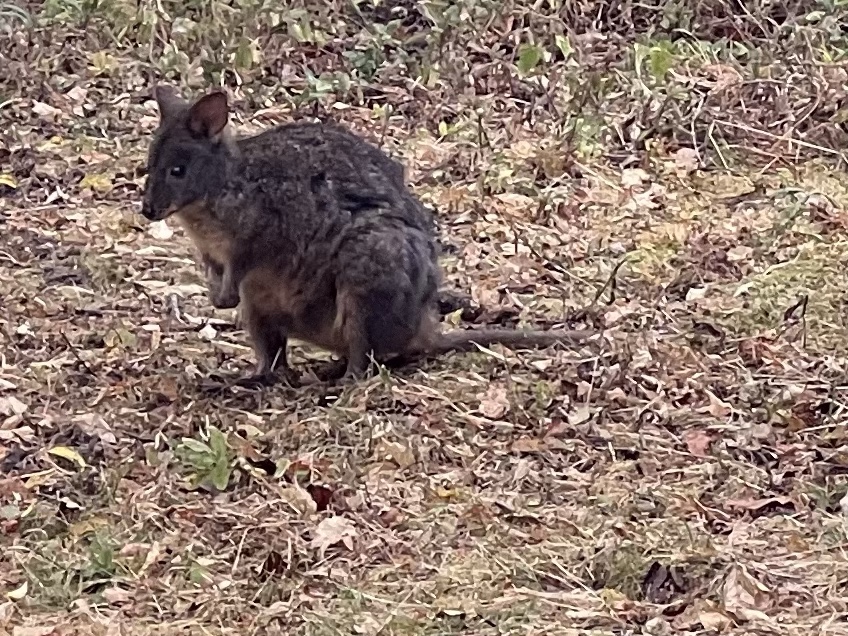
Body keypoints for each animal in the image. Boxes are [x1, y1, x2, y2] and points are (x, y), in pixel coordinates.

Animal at [140, 86, 598, 382]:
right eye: (149, 165)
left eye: (178, 170)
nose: (147, 210)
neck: (219, 190)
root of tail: (423, 328)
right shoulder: (211, 253)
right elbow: (216, 273)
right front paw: (215, 297)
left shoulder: (265, 232)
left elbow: (246, 261)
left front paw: (222, 298)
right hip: (264, 310)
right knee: (276, 361)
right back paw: (246, 379)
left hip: (365, 271)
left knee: (363, 362)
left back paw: (334, 382)